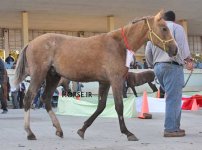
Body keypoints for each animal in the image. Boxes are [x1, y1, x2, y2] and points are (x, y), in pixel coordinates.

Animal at [15, 11, 178, 141]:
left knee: (46, 99)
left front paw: (82, 130)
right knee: (29, 98)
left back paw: (59, 130)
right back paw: (30, 132)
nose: (175, 49)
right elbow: (119, 106)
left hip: (53, 77)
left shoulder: (104, 82)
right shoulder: (116, 80)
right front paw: (127, 132)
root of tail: (31, 43)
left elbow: (101, 106)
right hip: (39, 74)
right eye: (164, 28)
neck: (118, 45)